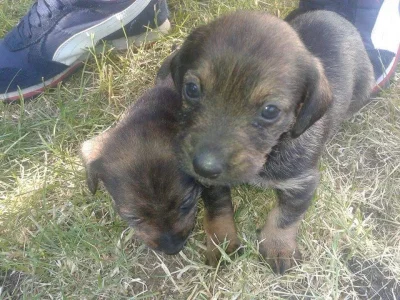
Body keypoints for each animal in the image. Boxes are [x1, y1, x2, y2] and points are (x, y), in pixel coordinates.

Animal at [170, 10, 376, 274]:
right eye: (192, 89)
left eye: (270, 111)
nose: (203, 166)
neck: (272, 151)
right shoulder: (211, 184)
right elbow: (218, 207)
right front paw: (222, 242)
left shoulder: (303, 183)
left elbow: (284, 216)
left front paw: (279, 247)